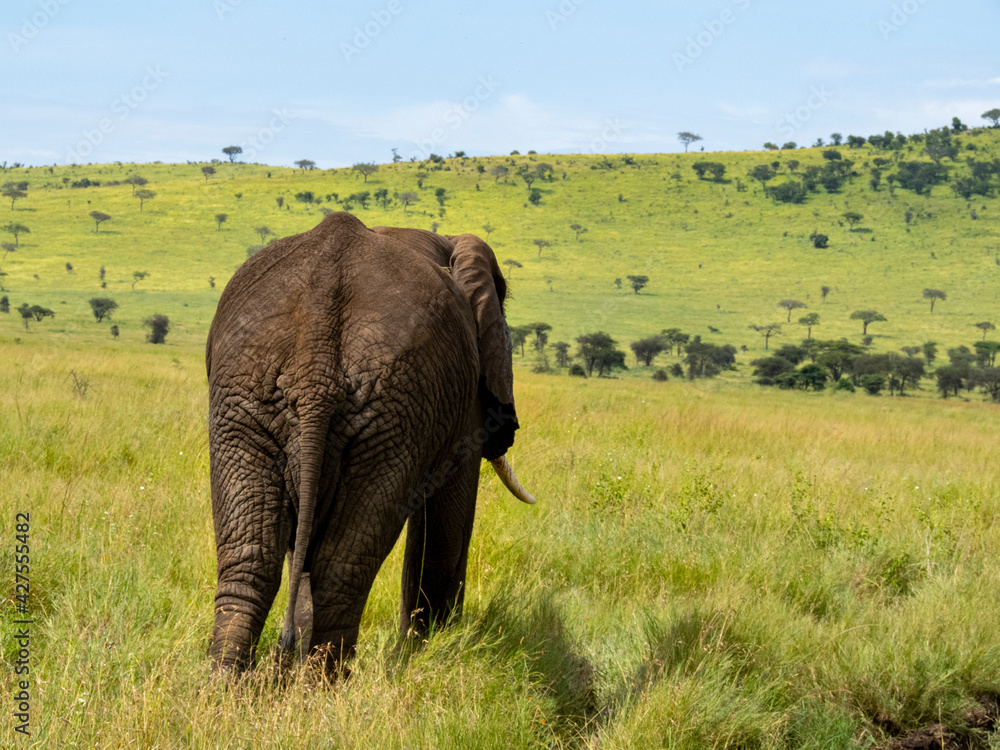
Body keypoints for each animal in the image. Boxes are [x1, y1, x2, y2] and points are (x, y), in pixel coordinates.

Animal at [205, 211, 535, 674]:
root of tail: (317, 355)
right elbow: (448, 521)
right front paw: (426, 653)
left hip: (250, 394)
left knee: (253, 559)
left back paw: (228, 686)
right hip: (384, 409)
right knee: (340, 568)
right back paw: (325, 686)